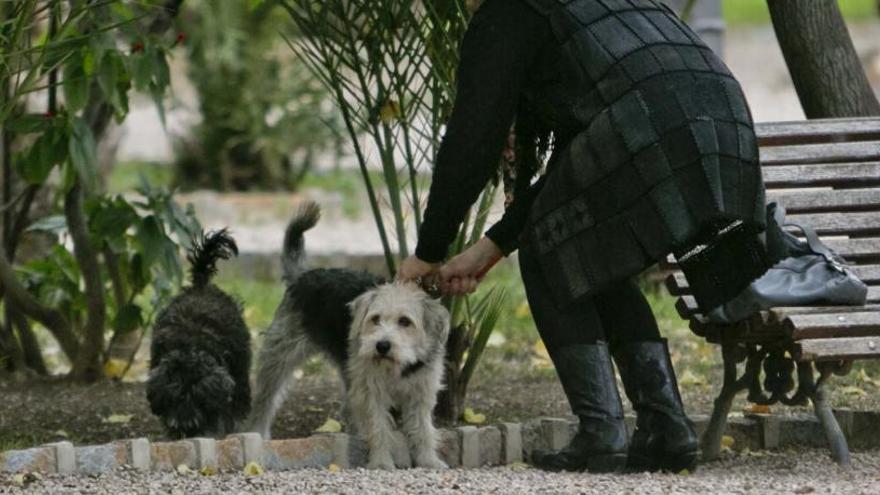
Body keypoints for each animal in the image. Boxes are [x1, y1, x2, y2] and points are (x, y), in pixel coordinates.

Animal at [249, 203, 450, 470]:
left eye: (405, 322)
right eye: (375, 319)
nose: (382, 346)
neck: (399, 365)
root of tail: (303, 275)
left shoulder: (421, 393)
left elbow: (423, 429)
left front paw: (428, 460)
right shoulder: (372, 392)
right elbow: (379, 427)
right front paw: (381, 462)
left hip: (348, 373)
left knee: (348, 408)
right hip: (279, 357)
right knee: (265, 400)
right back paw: (258, 433)